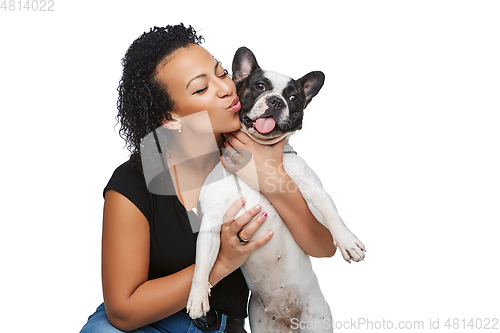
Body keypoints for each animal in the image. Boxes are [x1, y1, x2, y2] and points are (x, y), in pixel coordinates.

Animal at [186, 47, 366, 332]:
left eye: (294, 97)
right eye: (260, 86)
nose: (276, 101)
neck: (256, 152)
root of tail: (287, 317)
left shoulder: (312, 190)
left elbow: (331, 214)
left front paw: (348, 241)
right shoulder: (212, 222)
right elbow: (202, 263)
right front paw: (197, 297)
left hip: (316, 319)